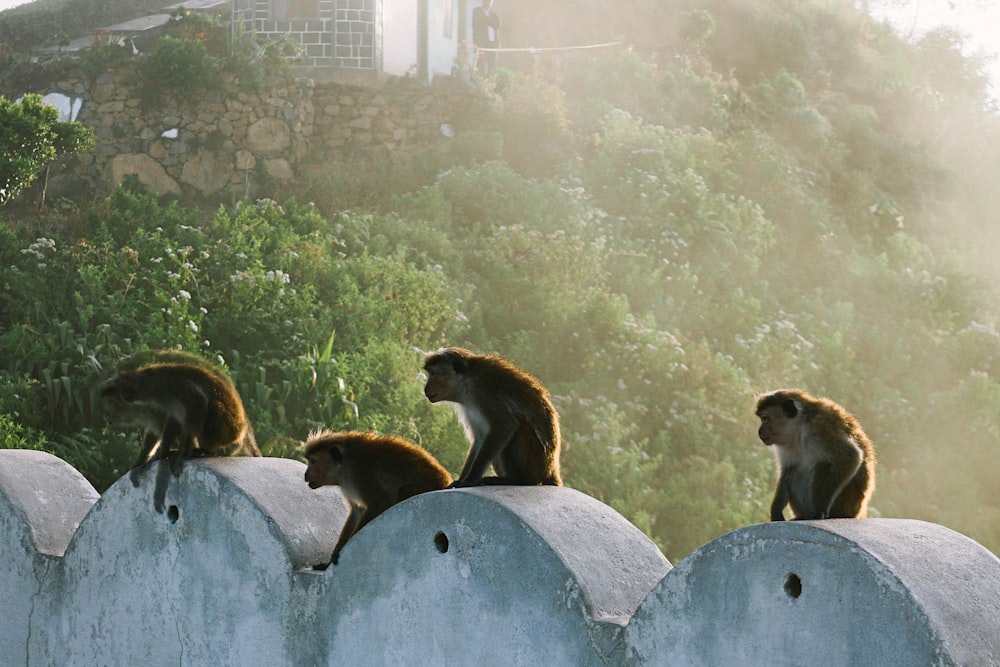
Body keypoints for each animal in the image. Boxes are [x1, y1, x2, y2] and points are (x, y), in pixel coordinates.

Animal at [300, 434, 450, 568]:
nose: (306, 475)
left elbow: (380, 501)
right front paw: (332, 557)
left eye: (313, 462)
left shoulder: (360, 472)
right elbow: (357, 512)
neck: (343, 466)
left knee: (404, 490)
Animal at [422, 348, 564, 488]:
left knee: (517, 428)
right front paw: (462, 479)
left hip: (535, 462)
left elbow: (505, 425)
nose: (425, 388)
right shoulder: (469, 407)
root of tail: (550, 468)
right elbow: (479, 439)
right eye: (430, 373)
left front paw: (470, 480)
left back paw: (518, 480)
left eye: (433, 373)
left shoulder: (486, 392)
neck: (467, 385)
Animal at [756, 392, 876, 520]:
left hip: (847, 504)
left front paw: (820, 509)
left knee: (822, 464)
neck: (799, 428)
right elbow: (787, 470)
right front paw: (776, 511)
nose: (759, 431)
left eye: (764, 418)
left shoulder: (821, 429)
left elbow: (851, 456)